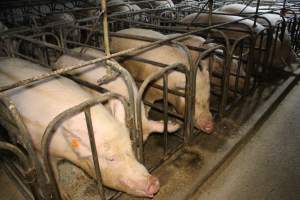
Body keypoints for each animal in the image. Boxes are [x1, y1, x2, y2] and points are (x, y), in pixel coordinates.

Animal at [0, 57, 159, 198]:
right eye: (111, 159)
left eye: (131, 147)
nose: (154, 182)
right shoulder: (39, 149)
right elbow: (53, 175)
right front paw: (65, 196)